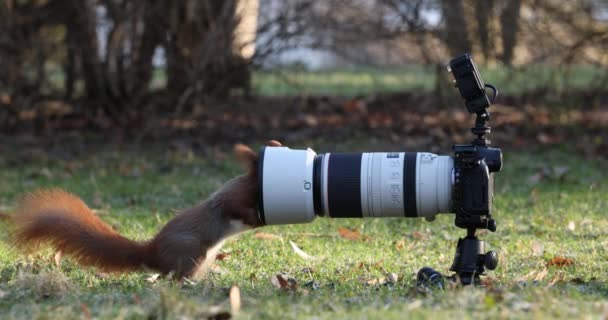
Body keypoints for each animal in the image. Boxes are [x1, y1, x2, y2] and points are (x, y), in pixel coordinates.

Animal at [11, 141, 282, 278]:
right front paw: (257, 218)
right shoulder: (231, 199)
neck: (249, 185)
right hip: (191, 252)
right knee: (172, 275)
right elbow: (235, 209)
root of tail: (151, 252)